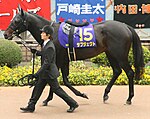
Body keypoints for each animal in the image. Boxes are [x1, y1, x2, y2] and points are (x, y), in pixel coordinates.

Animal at [3, 6, 144, 105]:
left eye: (16, 20)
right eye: (12, 19)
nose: (5, 34)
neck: (52, 33)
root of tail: (125, 26)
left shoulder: (59, 59)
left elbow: (59, 80)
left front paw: (79, 95)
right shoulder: (63, 60)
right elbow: (61, 79)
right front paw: (50, 99)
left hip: (120, 55)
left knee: (129, 72)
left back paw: (129, 98)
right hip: (110, 53)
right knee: (117, 71)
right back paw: (105, 94)